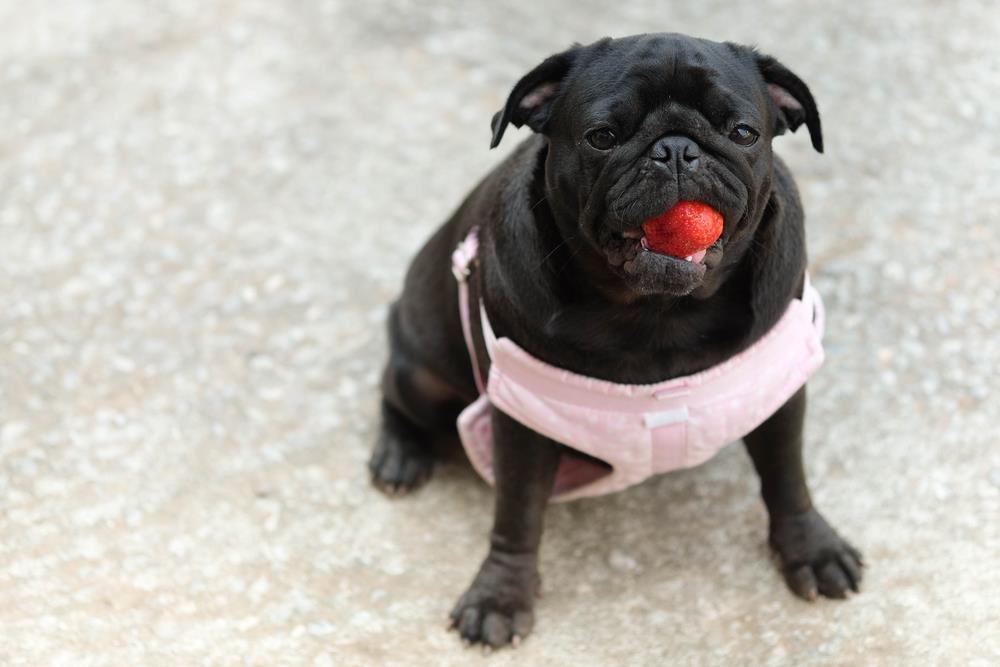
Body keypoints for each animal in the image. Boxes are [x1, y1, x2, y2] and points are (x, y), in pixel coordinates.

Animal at [372, 34, 864, 648]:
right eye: (602, 137)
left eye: (743, 133)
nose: (675, 149)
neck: (658, 312)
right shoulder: (522, 422)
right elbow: (517, 514)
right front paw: (499, 595)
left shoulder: (777, 389)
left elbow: (787, 477)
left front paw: (812, 550)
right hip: (424, 375)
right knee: (393, 390)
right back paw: (399, 454)